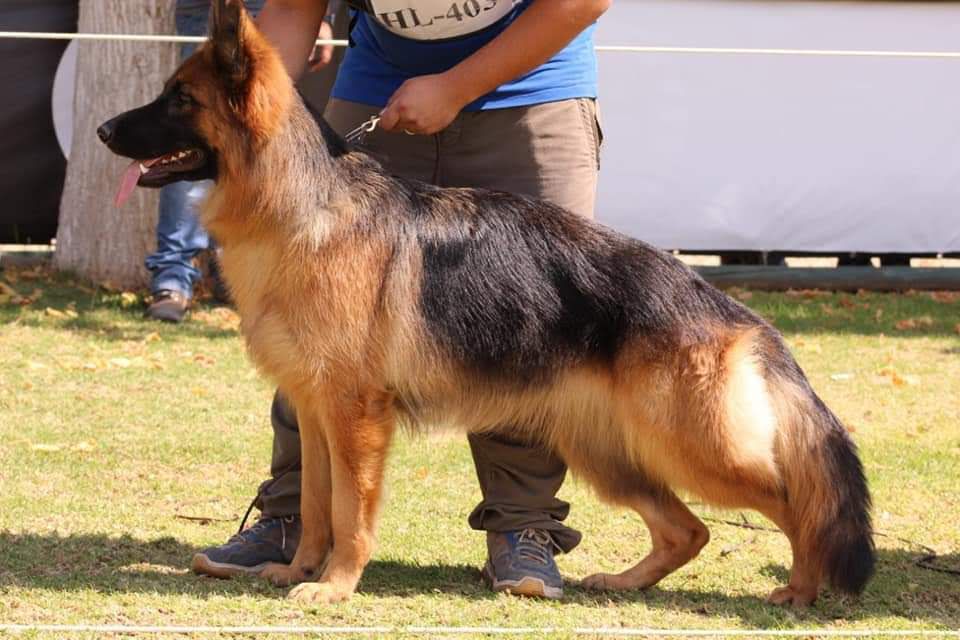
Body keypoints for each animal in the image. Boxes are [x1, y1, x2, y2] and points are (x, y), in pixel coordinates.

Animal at [99, 0, 876, 604]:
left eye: (179, 99)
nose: (104, 132)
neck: (297, 206)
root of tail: (736, 314)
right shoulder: (317, 414)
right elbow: (316, 506)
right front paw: (294, 569)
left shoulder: (356, 419)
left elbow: (350, 513)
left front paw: (337, 586)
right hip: (611, 454)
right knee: (691, 529)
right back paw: (624, 582)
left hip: (690, 446)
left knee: (800, 506)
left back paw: (801, 588)